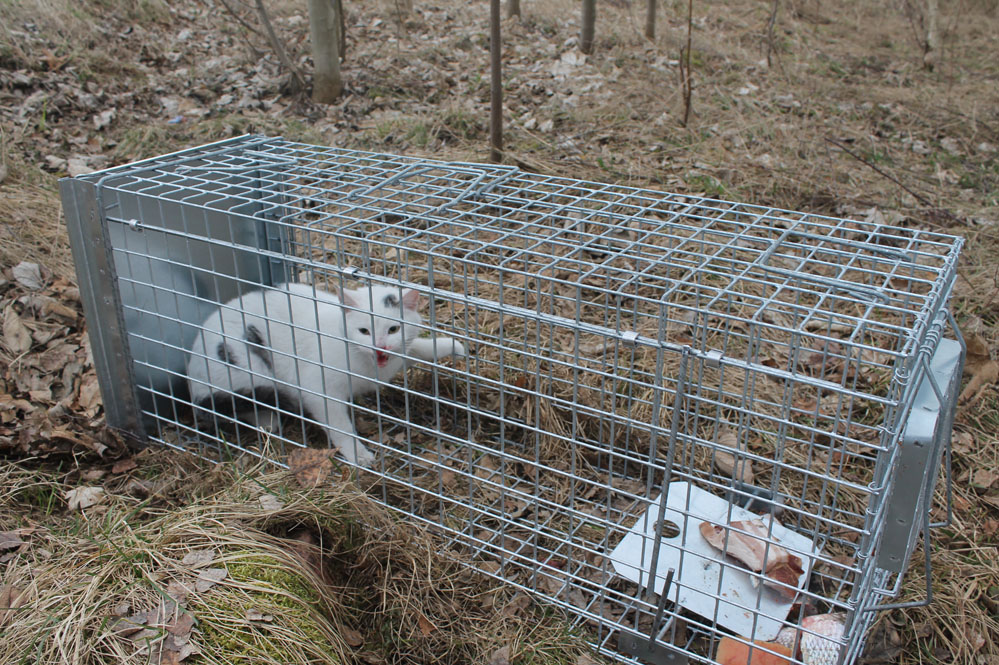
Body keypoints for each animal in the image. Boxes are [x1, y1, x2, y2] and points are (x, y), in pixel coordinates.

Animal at [186, 282, 466, 464]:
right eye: (364, 331)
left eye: (394, 329)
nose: (380, 346)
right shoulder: (319, 389)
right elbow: (340, 426)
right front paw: (358, 455)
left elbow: (415, 348)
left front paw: (451, 346)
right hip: (247, 367)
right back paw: (268, 419)